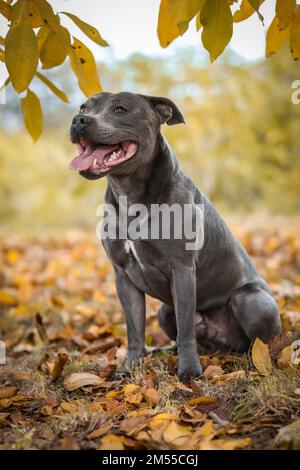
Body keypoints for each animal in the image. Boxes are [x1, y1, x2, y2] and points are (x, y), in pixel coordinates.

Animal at [70, 92, 282, 382]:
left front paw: (189, 370)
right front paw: (131, 366)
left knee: (259, 342)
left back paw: (257, 361)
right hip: (164, 311)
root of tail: (223, 344)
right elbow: (134, 329)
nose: (79, 120)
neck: (130, 196)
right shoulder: (123, 276)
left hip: (251, 301)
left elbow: (185, 329)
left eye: (121, 109)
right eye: (83, 107)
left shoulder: (181, 270)